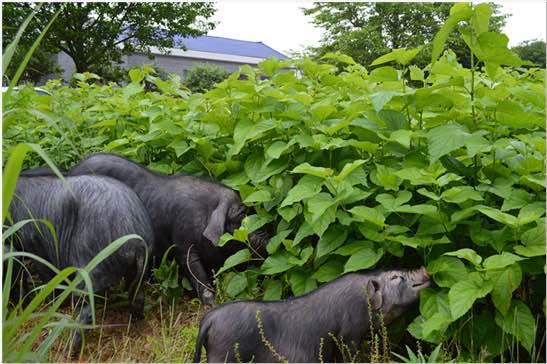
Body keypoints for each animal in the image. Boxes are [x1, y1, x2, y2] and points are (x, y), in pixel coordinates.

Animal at [8, 175, 154, 354]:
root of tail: (136, 239)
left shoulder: (38, 246)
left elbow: (49, 276)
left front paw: (50, 303)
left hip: (90, 267)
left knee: (86, 311)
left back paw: (68, 350)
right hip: (138, 270)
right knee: (138, 296)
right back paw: (135, 322)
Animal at [65, 152, 270, 306]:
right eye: (240, 217)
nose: (267, 238)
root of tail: (69, 172)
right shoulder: (182, 243)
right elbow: (195, 271)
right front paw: (210, 303)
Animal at [195, 266, 430, 362]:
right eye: (396, 277)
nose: (425, 268)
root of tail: (208, 320)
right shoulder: (350, 334)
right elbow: (350, 354)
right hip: (224, 353)